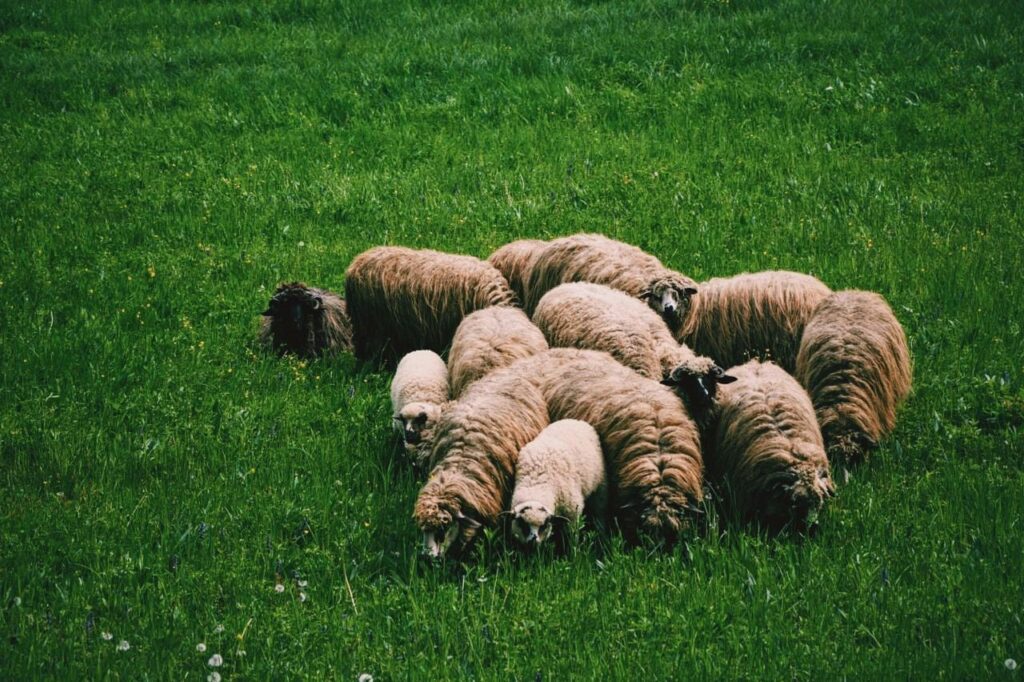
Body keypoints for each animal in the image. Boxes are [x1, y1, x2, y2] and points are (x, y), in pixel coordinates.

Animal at [507, 419, 607, 548]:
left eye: (544, 526)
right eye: (523, 524)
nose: (532, 542)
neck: (537, 484)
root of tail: (575, 420)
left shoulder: (572, 514)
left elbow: (570, 536)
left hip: (600, 485)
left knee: (600, 509)